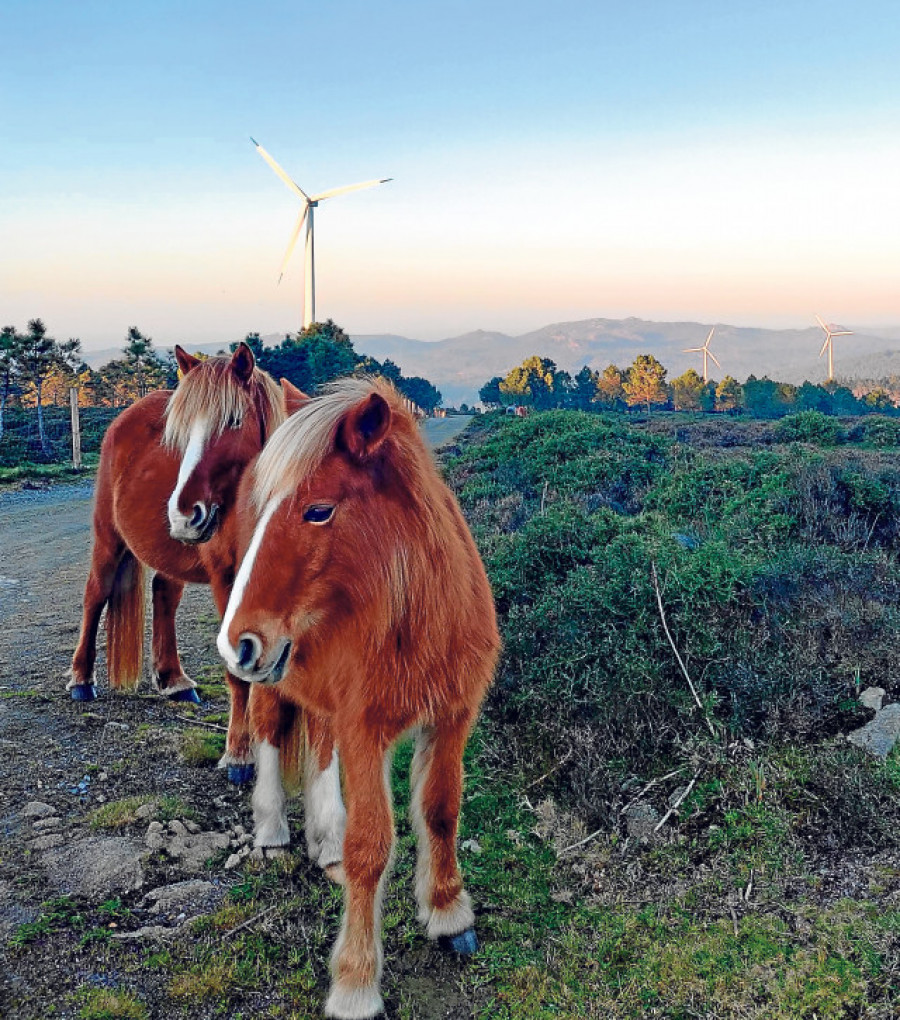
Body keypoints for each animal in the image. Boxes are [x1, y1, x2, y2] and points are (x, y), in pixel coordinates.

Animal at [67, 346, 306, 783]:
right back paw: (80, 679)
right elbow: (239, 671)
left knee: (164, 594)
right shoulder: (227, 582)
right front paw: (240, 754)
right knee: (95, 595)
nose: (184, 515)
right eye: (178, 432)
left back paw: (174, 680)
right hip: (108, 539)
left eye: (234, 420)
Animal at [215, 381, 497, 1020]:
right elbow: (371, 844)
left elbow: (441, 811)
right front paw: (355, 984)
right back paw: (273, 831)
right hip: (273, 677)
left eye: (319, 510)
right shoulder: (366, 729)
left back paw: (325, 844)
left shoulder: (451, 718)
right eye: (265, 511)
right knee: (269, 729)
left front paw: (448, 913)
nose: (236, 640)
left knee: (319, 747)